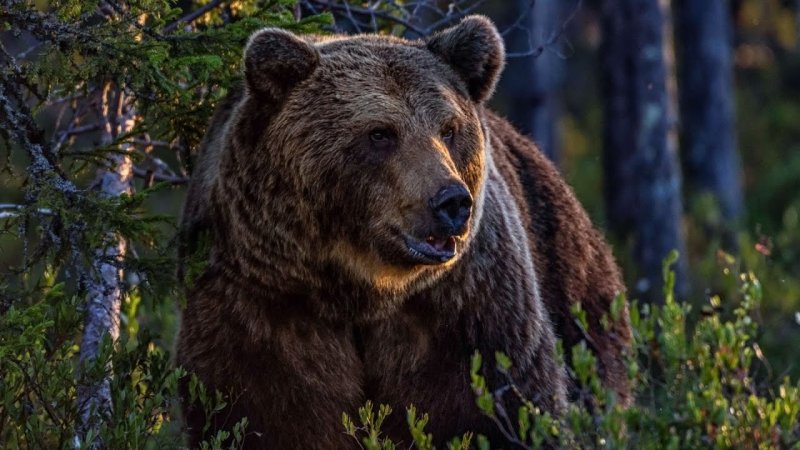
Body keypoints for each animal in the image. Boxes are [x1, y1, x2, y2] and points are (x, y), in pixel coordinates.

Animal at [176, 15, 631, 449]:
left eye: (449, 128)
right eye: (380, 133)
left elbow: (506, 411)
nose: (452, 202)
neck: (361, 292)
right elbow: (262, 417)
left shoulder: (469, 315)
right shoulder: (260, 304)